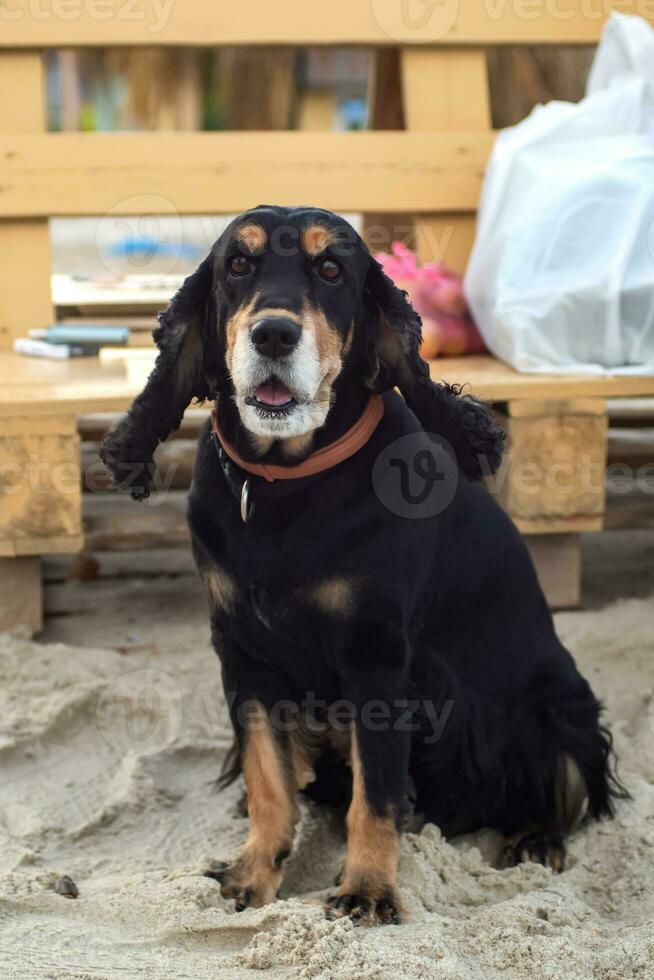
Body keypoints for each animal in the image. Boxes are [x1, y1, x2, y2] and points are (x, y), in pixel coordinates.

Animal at [102, 203, 624, 924]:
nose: (272, 333)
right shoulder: (244, 654)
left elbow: (373, 794)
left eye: (330, 270)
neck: (283, 485)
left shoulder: (376, 661)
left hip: (561, 710)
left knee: (561, 786)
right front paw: (253, 872)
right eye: (238, 265)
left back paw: (535, 840)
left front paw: (368, 890)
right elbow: (267, 778)